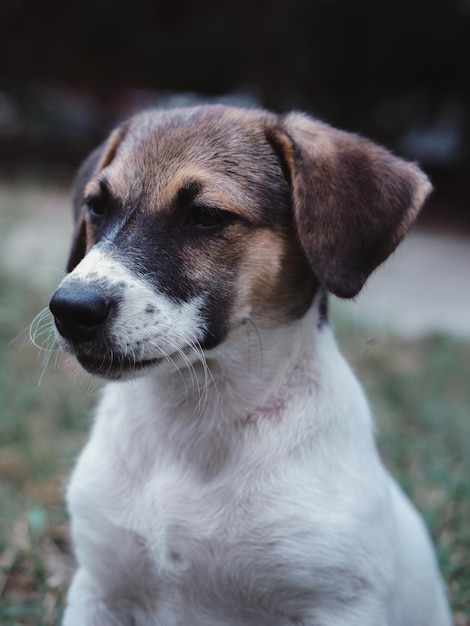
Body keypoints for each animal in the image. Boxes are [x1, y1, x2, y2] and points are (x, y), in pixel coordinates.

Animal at [48, 105, 452, 620]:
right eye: (97, 207)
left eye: (205, 216)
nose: (70, 310)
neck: (195, 425)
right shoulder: (99, 589)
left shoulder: (339, 604)